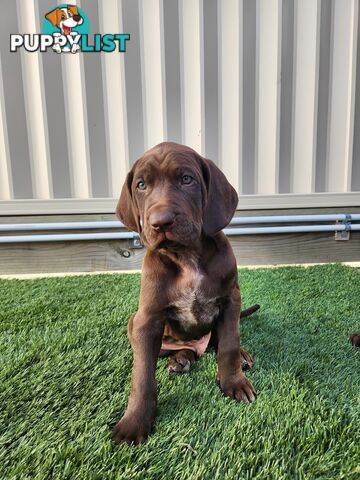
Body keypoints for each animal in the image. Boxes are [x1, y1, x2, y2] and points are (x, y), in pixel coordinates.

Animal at [114, 141, 258, 444]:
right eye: (141, 185)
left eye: (186, 179)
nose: (161, 222)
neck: (187, 255)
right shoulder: (148, 319)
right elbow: (142, 375)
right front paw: (135, 421)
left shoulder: (231, 300)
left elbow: (228, 344)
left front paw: (234, 382)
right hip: (136, 324)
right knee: (177, 350)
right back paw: (180, 359)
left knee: (217, 343)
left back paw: (237, 356)